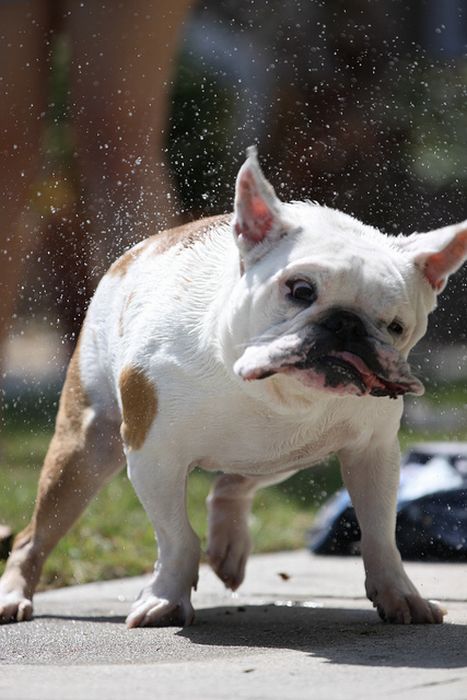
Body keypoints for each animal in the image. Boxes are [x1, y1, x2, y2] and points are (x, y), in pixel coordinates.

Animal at [0, 148, 467, 628]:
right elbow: (176, 536)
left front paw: (398, 593)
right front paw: (166, 598)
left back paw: (228, 544)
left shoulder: (372, 454)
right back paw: (14, 593)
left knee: (232, 484)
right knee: (34, 535)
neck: (271, 392)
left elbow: (379, 533)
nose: (346, 324)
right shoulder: (154, 458)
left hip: (292, 455)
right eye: (300, 289)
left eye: (396, 327)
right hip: (85, 451)